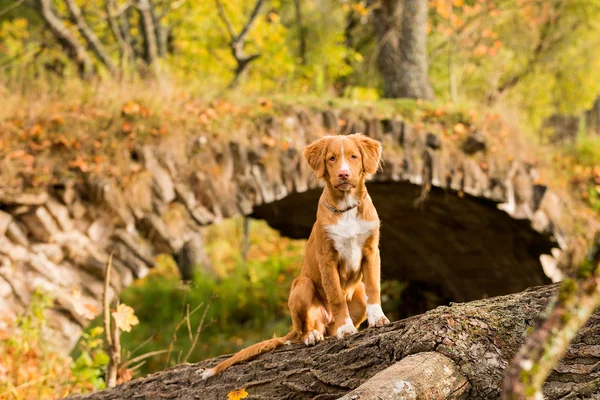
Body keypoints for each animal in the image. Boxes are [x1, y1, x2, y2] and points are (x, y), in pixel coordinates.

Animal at [202, 133, 390, 380]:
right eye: (331, 158)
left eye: (353, 156)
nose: (343, 174)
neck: (347, 208)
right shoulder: (327, 259)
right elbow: (336, 298)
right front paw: (345, 329)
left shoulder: (371, 252)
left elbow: (374, 288)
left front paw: (378, 318)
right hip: (302, 285)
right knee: (304, 330)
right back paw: (313, 335)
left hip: (356, 296)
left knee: (331, 325)